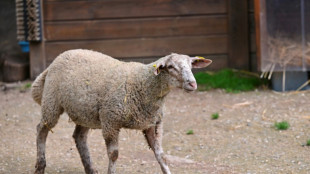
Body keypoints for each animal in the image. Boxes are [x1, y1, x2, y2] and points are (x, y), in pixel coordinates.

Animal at [30, 49, 211, 174]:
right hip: (52, 102)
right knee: (41, 129)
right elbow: (114, 155)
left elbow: (161, 155)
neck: (144, 84)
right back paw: (40, 166)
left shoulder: (152, 124)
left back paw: (90, 169)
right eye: (171, 67)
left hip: (85, 112)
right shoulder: (111, 121)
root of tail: (57, 59)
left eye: (191, 65)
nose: (193, 84)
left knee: (79, 137)